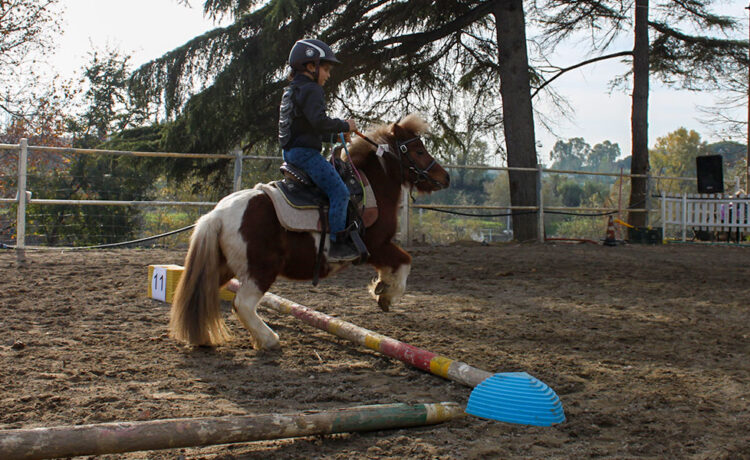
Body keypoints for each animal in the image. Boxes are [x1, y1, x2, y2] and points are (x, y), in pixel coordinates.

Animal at [170, 114, 450, 348]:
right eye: (418, 150)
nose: (445, 177)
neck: (370, 186)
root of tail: (216, 215)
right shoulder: (377, 246)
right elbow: (405, 262)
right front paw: (387, 295)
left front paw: (382, 286)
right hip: (260, 271)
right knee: (243, 305)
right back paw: (269, 339)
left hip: (224, 267)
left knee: (204, 296)